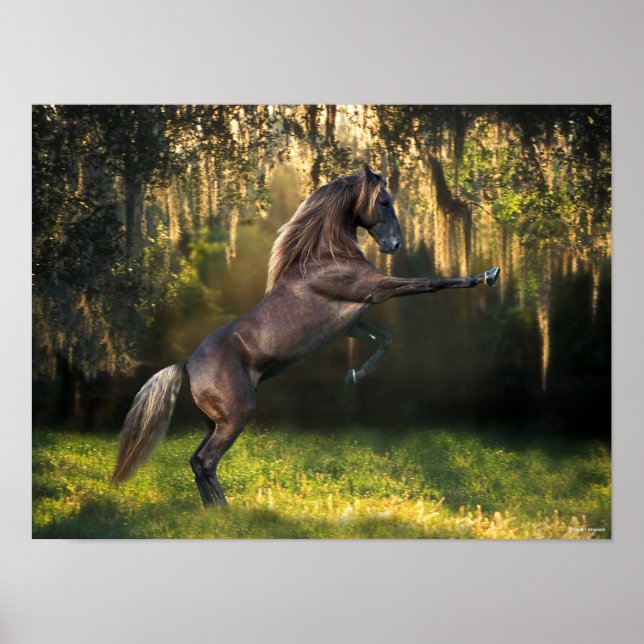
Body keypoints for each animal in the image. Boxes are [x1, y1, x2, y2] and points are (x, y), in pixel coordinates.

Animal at [112, 165, 500, 506]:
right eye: (384, 202)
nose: (395, 245)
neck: (327, 256)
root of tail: (187, 366)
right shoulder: (377, 290)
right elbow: (432, 283)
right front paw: (487, 275)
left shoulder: (352, 323)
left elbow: (385, 338)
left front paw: (352, 376)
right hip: (236, 417)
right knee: (206, 461)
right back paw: (224, 511)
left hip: (215, 421)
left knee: (196, 461)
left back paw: (214, 511)